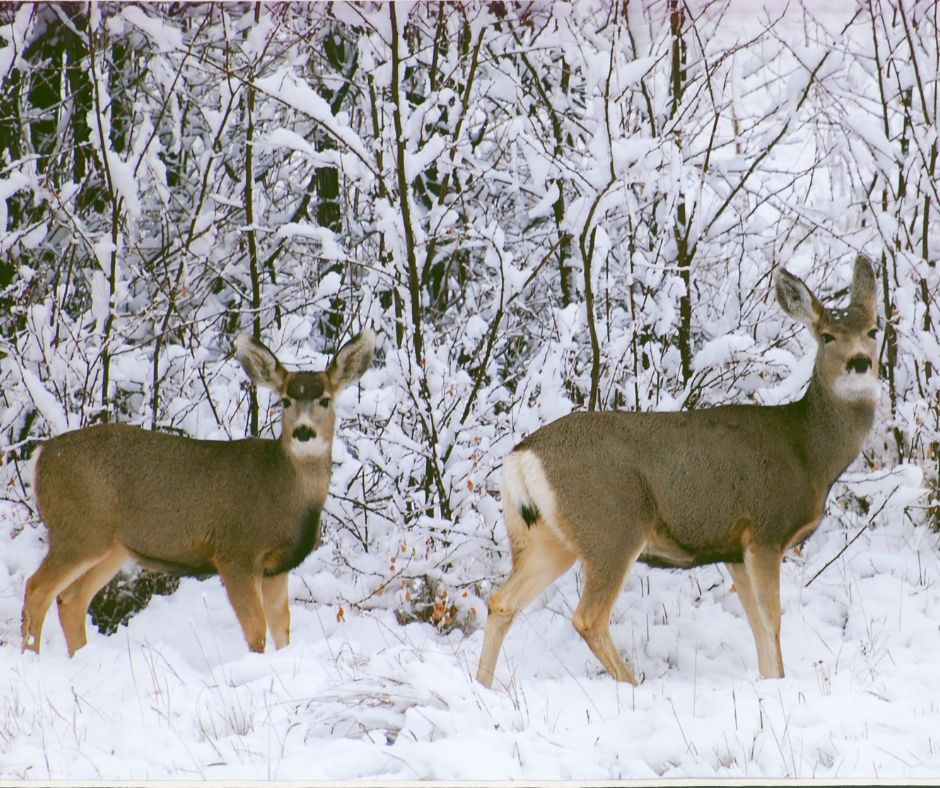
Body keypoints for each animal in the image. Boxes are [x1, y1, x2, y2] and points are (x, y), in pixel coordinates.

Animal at [22, 329, 374, 656]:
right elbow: (257, 630)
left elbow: (282, 630)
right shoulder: (236, 551)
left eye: (325, 399)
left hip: (111, 545)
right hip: (78, 529)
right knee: (37, 589)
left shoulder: (277, 566)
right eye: (285, 400)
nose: (303, 431)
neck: (284, 491)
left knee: (71, 598)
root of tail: (40, 455)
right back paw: (32, 657)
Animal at [477, 255, 880, 688]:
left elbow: (756, 624)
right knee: (588, 618)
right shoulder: (765, 530)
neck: (809, 452)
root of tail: (520, 459)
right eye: (827, 336)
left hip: (546, 539)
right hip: (613, 527)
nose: (860, 362)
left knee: (501, 602)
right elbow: (772, 622)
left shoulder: (734, 547)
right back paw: (633, 684)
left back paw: (482, 688)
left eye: (874, 330)